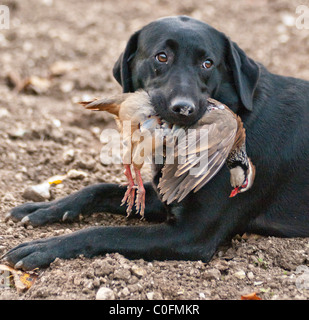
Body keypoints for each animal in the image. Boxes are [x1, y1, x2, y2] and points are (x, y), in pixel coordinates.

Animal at [3, 15, 308, 270]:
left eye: (207, 63)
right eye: (162, 57)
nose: (184, 108)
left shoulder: (190, 235)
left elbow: (104, 232)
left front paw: (44, 248)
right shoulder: (166, 197)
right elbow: (98, 189)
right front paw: (43, 209)